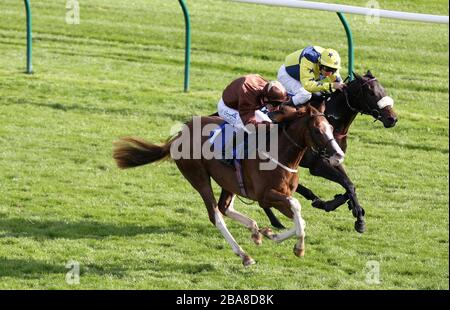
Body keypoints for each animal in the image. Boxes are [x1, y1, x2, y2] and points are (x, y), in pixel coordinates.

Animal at [113, 104, 344, 266]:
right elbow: (297, 206)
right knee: (215, 214)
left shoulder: (280, 195)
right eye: (317, 130)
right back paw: (244, 255)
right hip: (199, 177)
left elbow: (300, 220)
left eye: (331, 127)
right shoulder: (265, 196)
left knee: (225, 207)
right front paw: (298, 248)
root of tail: (179, 134)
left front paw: (272, 234)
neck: (280, 154)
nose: (339, 156)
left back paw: (255, 231)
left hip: (229, 182)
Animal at [264, 71, 398, 232]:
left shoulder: (336, 159)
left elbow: (350, 184)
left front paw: (356, 211)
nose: (392, 118)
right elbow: (346, 183)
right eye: (371, 92)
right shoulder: (317, 166)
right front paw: (356, 216)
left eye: (383, 89)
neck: (332, 121)